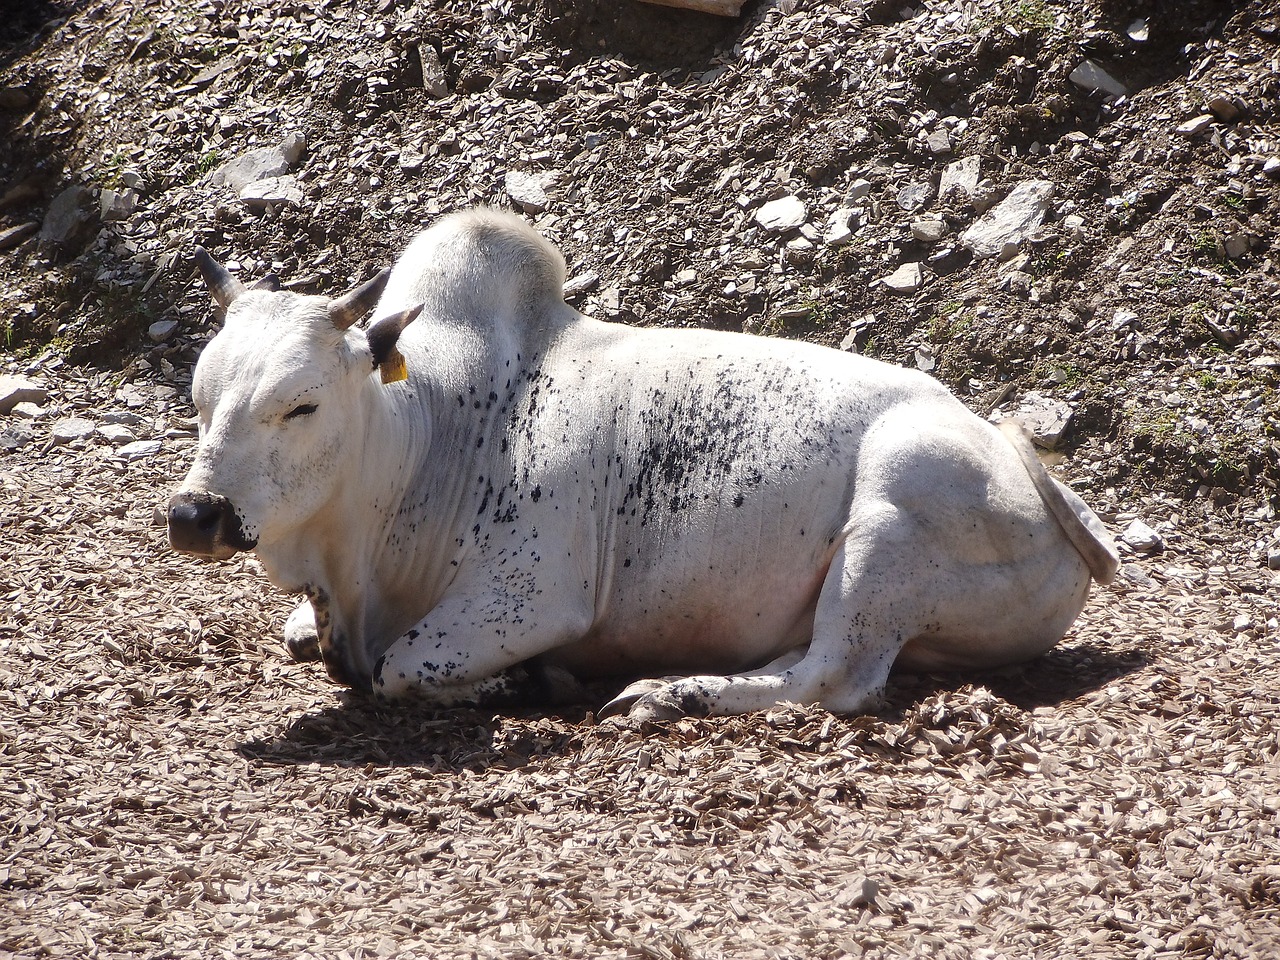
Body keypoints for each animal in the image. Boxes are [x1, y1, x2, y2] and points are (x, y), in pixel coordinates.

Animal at [172, 209, 1121, 721]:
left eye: (301, 404)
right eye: (198, 395)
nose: (194, 515)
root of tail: (1022, 464)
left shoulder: (531, 594)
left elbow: (403, 668)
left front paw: (522, 681)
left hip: (891, 522)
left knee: (835, 677)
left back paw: (666, 693)